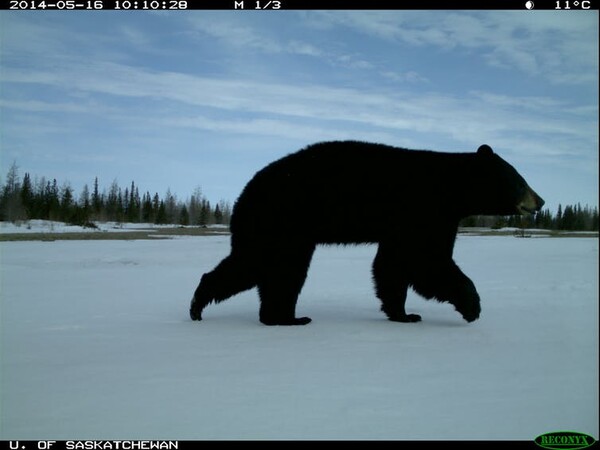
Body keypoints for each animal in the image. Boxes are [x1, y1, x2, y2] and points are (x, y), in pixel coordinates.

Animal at [191, 140, 544, 324]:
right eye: (520, 180)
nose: (540, 200)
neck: (451, 190)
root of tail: (245, 192)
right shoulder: (424, 211)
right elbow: (428, 262)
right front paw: (472, 306)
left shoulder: (406, 225)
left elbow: (394, 266)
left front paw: (403, 313)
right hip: (282, 222)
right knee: (271, 266)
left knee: (263, 268)